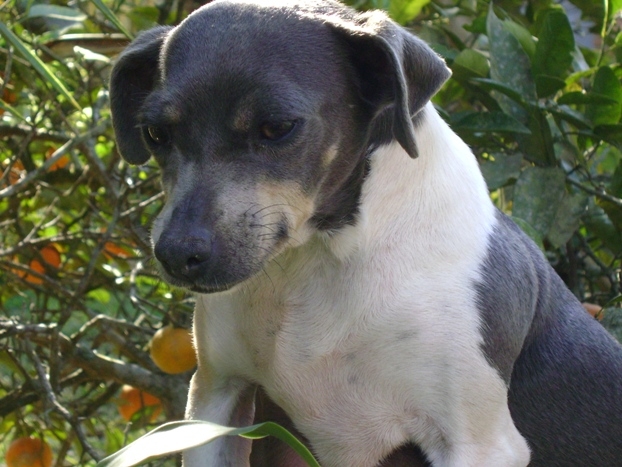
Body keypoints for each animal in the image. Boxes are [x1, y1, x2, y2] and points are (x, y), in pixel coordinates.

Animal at [109, 1, 622, 466]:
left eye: (277, 127)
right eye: (154, 133)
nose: (176, 254)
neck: (319, 261)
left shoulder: (477, 444)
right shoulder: (216, 400)